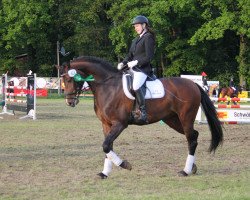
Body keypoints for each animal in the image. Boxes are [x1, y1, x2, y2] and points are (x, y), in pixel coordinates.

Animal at [59, 56, 224, 180]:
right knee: (193, 136)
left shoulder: (119, 124)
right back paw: (192, 167)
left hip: (186, 117)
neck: (107, 86)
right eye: (63, 80)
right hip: (172, 120)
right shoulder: (106, 124)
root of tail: (193, 84)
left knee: (191, 138)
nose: (69, 102)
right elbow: (108, 146)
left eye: (69, 80)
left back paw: (185, 171)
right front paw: (105, 173)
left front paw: (125, 165)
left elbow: (106, 145)